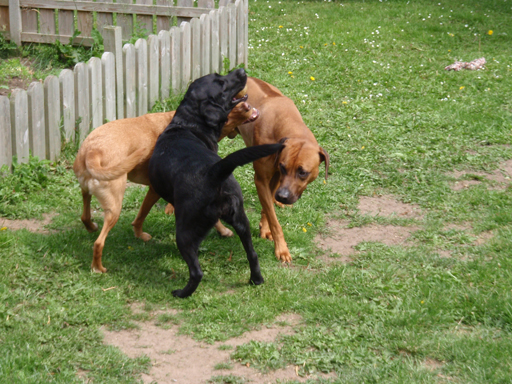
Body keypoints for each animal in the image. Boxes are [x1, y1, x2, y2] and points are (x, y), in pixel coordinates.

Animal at [73, 100, 258, 272]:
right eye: (227, 108)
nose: (248, 105)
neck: (186, 123)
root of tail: (92, 152)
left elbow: (140, 216)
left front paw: (139, 235)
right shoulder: (159, 191)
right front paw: (223, 231)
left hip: (87, 192)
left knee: (84, 216)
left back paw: (91, 228)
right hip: (114, 208)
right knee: (98, 243)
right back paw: (98, 268)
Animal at [148, 68, 284, 296]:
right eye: (220, 81)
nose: (241, 70)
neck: (187, 124)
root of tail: (215, 172)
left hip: (184, 233)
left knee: (196, 272)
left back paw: (182, 293)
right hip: (242, 220)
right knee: (253, 254)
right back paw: (256, 280)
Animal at [231, 78, 328, 264]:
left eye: (302, 172)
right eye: (284, 167)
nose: (282, 196)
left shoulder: (275, 177)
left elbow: (267, 208)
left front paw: (264, 228)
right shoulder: (262, 179)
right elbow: (274, 219)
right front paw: (281, 248)